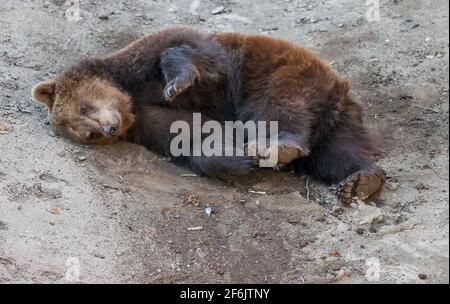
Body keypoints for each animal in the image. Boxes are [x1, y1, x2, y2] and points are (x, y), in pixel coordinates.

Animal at [32, 27, 384, 204]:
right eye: (85, 132)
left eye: (84, 108)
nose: (107, 129)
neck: (130, 95)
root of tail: (337, 93)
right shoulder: (151, 120)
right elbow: (194, 136)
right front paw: (235, 161)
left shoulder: (177, 57)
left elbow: (183, 55)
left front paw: (177, 82)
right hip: (339, 120)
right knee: (336, 152)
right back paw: (360, 181)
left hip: (286, 75)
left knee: (280, 108)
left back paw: (276, 147)